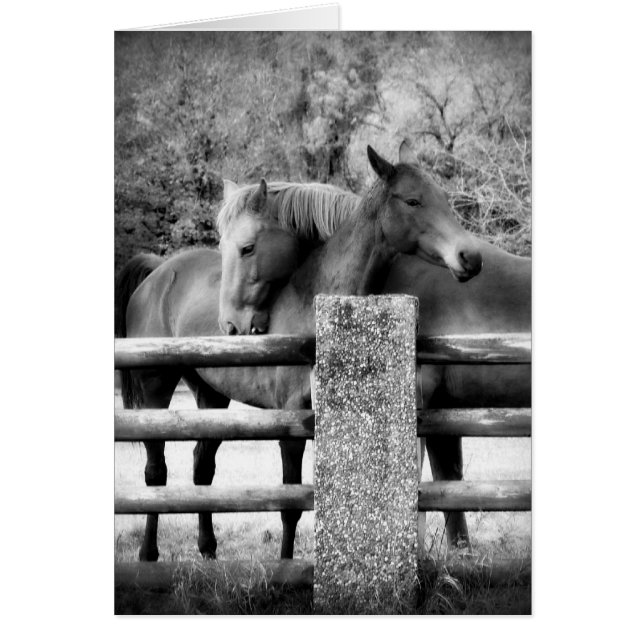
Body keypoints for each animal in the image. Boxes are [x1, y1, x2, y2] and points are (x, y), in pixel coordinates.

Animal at [115, 142, 482, 561]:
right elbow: (291, 503)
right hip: (156, 391)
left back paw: (208, 550)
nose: (470, 257)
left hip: (211, 395)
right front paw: (286, 564)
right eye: (413, 200)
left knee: (202, 468)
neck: (314, 304)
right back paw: (148, 553)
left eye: (443, 198)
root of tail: (158, 272)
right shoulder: (290, 424)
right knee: (155, 473)